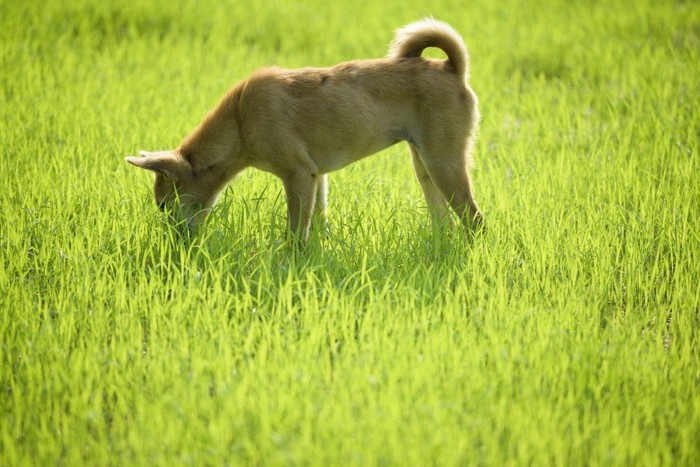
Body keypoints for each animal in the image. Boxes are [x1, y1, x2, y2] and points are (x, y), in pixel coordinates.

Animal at [127, 19, 482, 241]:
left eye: (163, 205)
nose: (172, 242)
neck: (240, 121)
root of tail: (452, 68)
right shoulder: (318, 176)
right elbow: (317, 224)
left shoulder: (299, 174)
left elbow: (296, 231)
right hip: (424, 167)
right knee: (447, 222)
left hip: (444, 164)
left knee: (475, 221)